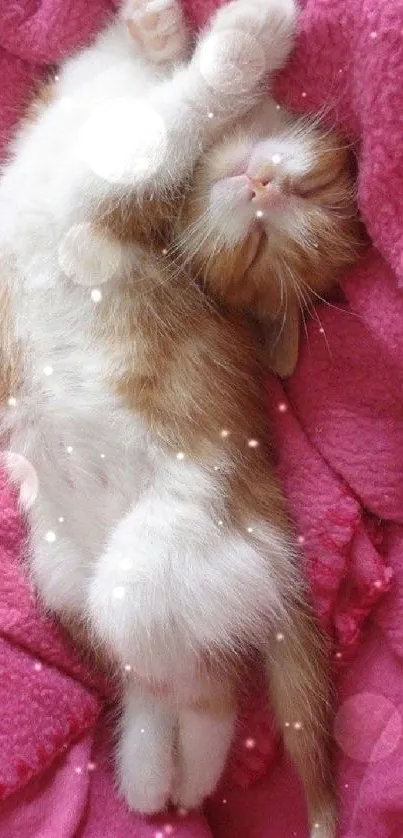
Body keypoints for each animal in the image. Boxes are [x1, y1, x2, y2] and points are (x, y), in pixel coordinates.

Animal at [0, 1, 360, 838]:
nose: (264, 183)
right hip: (66, 574)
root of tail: (275, 550)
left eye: (312, 186)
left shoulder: (117, 187)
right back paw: (157, 776)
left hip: (156, 560)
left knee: (201, 677)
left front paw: (241, 45)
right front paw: (159, 28)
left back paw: (179, 778)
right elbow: (155, 76)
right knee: (162, 675)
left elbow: (176, 115)